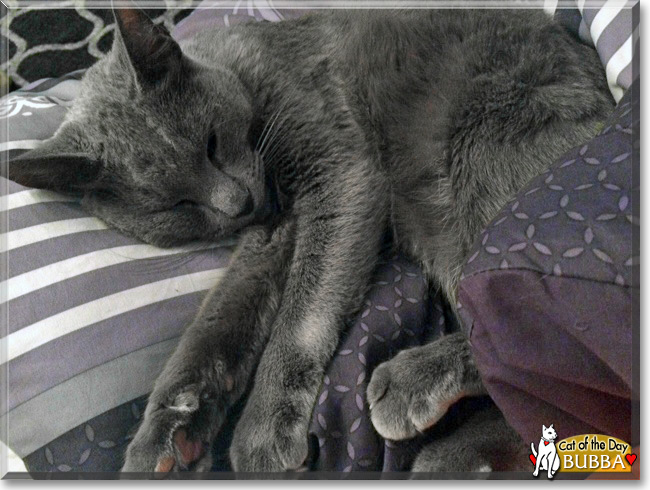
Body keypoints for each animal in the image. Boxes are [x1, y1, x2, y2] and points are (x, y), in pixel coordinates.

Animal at [8, 5, 612, 472]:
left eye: (210, 142)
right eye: (174, 206)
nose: (237, 203)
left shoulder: (339, 171)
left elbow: (301, 313)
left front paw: (261, 433)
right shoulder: (269, 234)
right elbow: (214, 325)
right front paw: (167, 435)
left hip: (478, 152)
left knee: (540, 334)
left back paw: (417, 397)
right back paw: (462, 456)